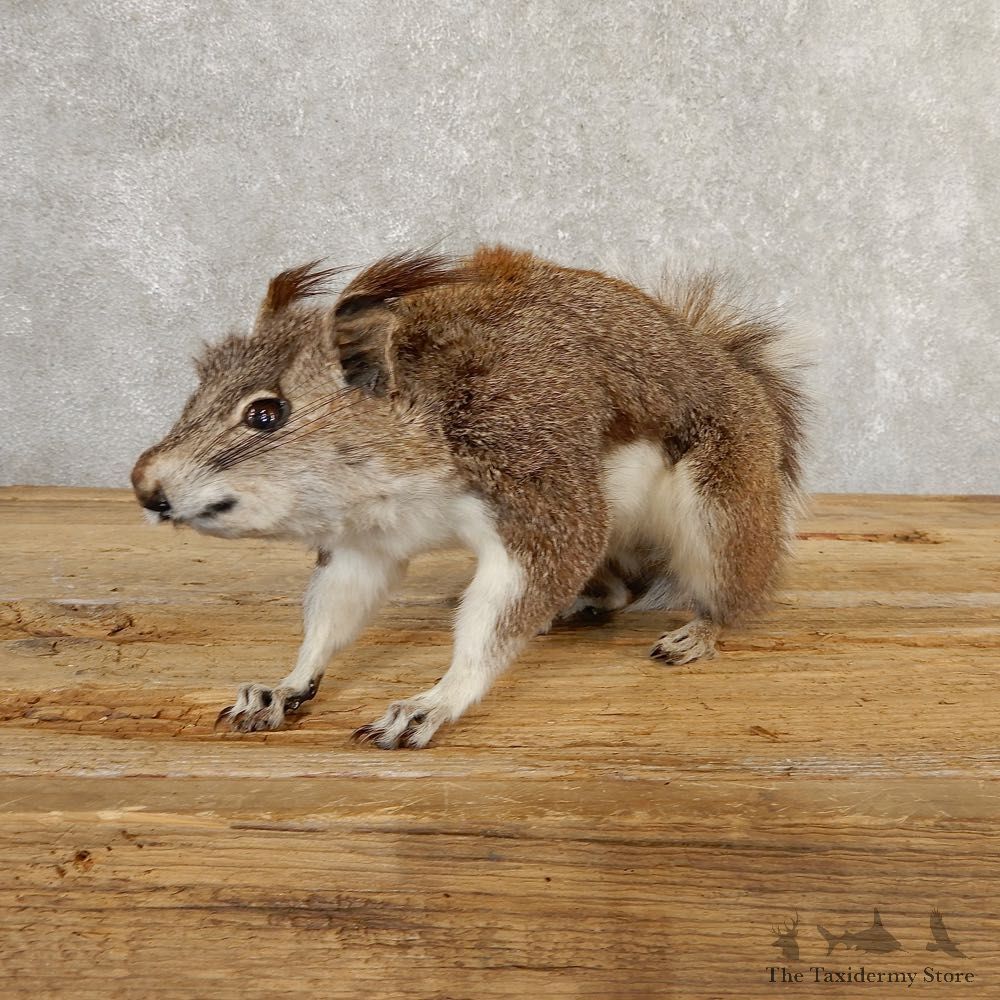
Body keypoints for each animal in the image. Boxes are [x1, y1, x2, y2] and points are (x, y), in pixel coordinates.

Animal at [131, 245, 809, 749]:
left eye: (267, 414)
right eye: (196, 391)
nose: (145, 486)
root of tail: (727, 370)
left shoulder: (539, 492)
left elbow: (493, 623)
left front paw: (433, 702)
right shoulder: (365, 544)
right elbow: (333, 612)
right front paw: (286, 684)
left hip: (717, 505)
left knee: (725, 588)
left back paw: (699, 630)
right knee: (620, 587)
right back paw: (580, 603)